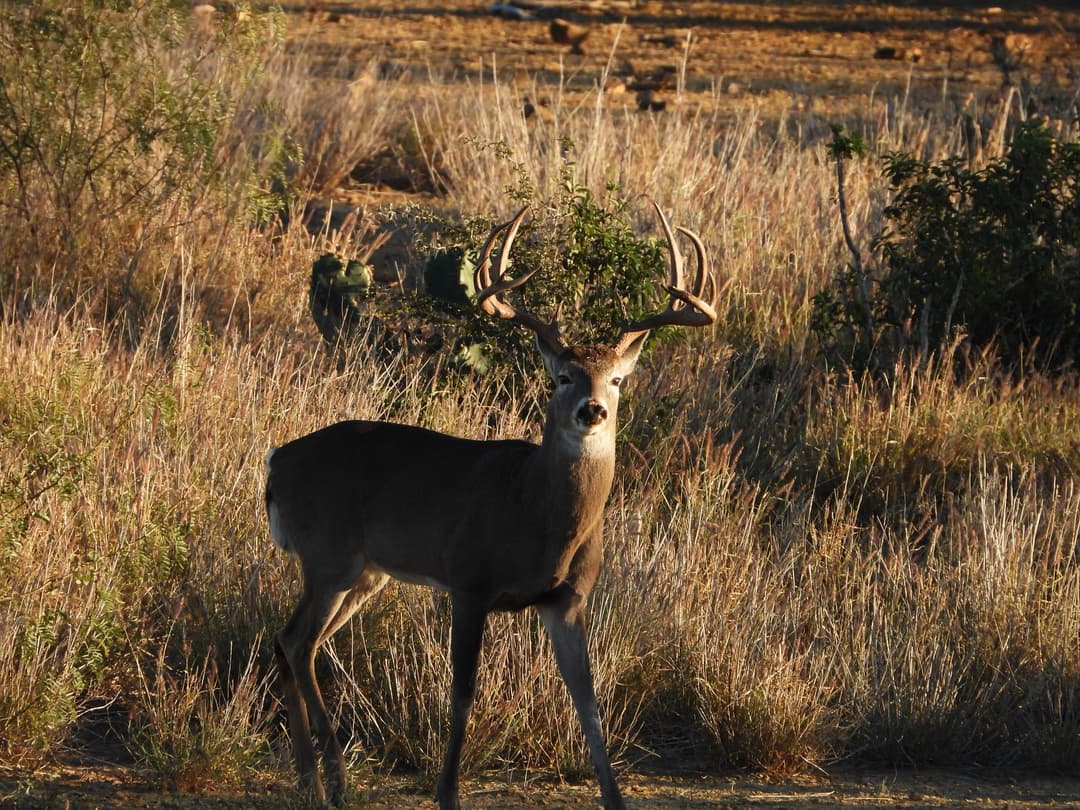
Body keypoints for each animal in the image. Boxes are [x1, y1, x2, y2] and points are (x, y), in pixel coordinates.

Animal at [265, 201, 718, 809]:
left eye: (619, 378)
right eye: (562, 376)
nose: (592, 410)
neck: (537, 514)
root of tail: (276, 463)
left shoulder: (566, 600)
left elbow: (589, 703)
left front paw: (616, 799)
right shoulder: (469, 581)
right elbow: (463, 690)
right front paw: (448, 793)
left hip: (364, 573)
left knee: (294, 643)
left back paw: (310, 778)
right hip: (329, 556)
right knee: (297, 641)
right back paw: (333, 778)